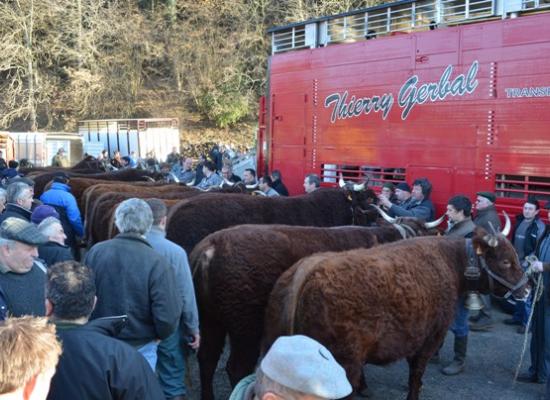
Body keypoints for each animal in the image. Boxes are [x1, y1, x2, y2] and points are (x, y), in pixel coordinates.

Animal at [264, 227, 532, 398]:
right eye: (506, 261)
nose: (527, 288)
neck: (449, 262)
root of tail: (309, 267)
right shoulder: (429, 340)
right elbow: (416, 377)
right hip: (341, 364)